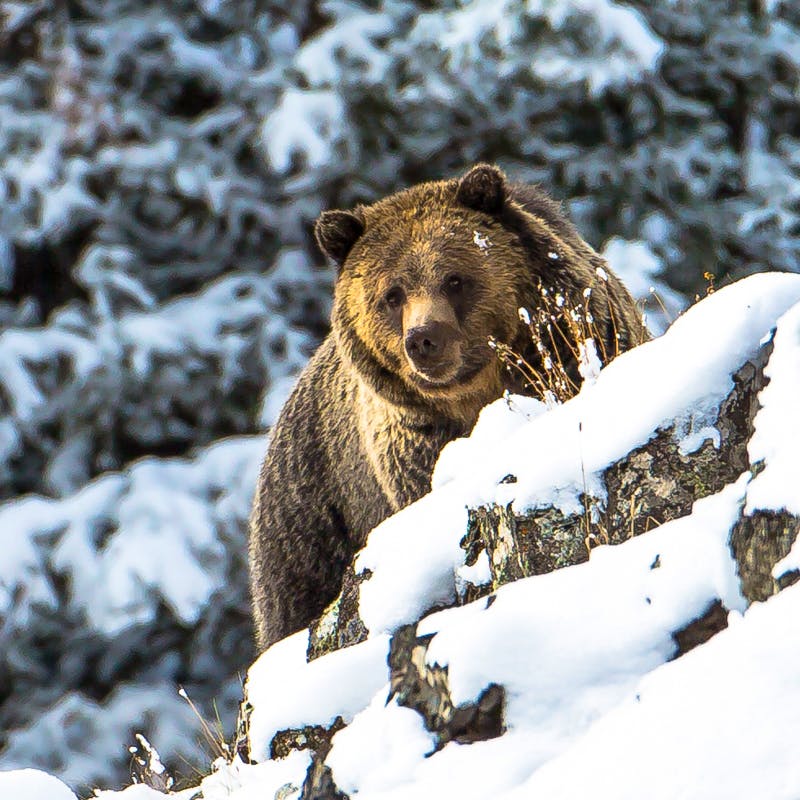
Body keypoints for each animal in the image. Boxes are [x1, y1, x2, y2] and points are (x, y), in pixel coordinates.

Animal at [249, 164, 647, 650]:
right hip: (310, 512)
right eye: (392, 294)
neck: (476, 392)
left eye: (454, 279)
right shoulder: (412, 442)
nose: (423, 338)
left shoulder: (580, 341)